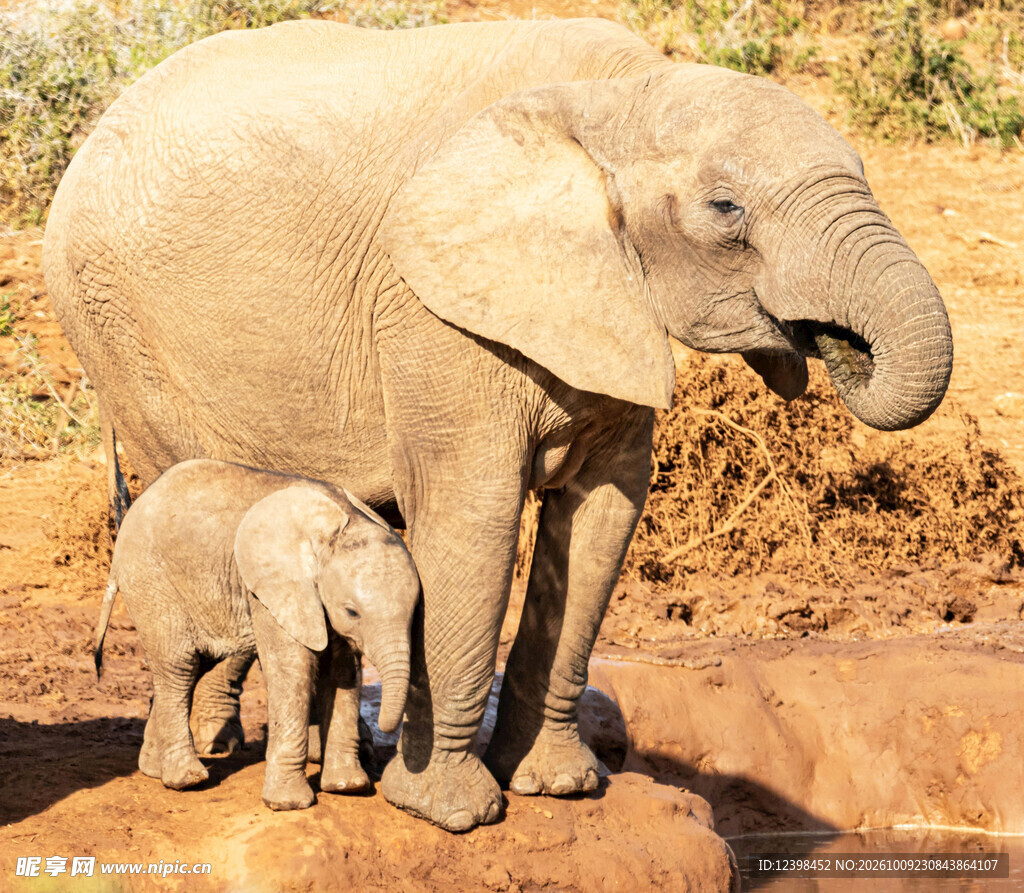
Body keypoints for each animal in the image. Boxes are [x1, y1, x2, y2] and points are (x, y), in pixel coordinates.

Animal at [93, 459, 420, 810]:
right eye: (352, 611)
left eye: (415, 612)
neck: (339, 525)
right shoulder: (272, 589)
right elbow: (292, 667)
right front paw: (289, 803)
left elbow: (342, 671)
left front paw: (348, 787)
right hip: (150, 581)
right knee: (179, 665)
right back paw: (187, 780)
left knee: (195, 665)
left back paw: (154, 769)